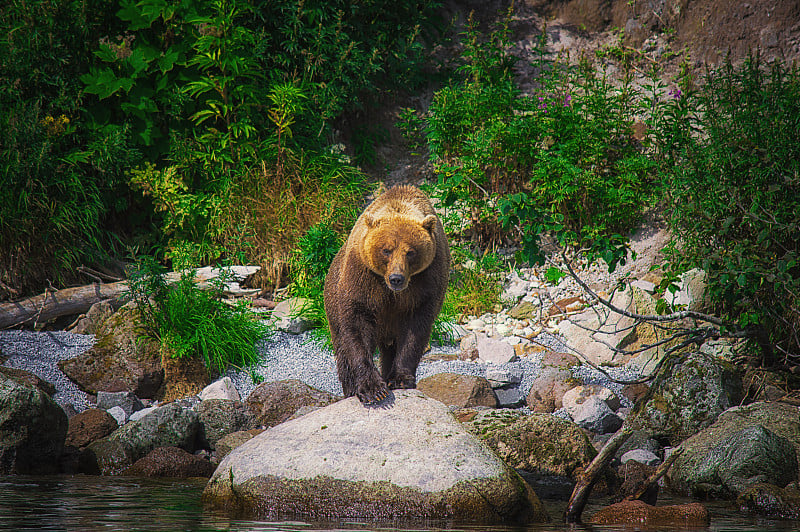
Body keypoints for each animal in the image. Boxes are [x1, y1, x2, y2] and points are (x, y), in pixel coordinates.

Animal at [324, 185, 450, 406]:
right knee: (342, 348)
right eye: (386, 250)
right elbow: (357, 325)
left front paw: (400, 379)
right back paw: (350, 388)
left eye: (410, 251)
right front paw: (372, 389)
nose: (396, 278)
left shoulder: (427, 280)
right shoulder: (362, 277)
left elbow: (416, 329)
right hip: (333, 302)